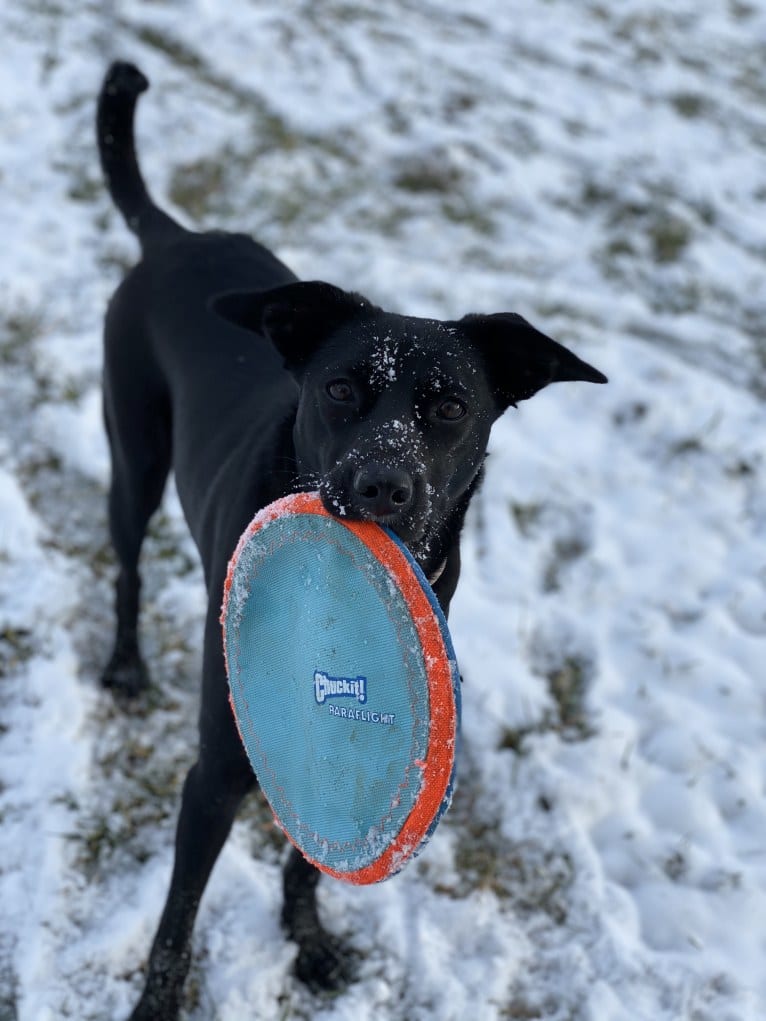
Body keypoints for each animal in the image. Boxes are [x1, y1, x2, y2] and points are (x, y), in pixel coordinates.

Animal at [99, 61, 608, 1021]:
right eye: (339, 388)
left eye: (450, 405)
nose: (381, 485)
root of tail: (176, 239)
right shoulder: (215, 772)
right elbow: (177, 919)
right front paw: (157, 1003)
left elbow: (309, 858)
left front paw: (309, 942)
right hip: (134, 454)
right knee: (127, 564)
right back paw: (125, 663)